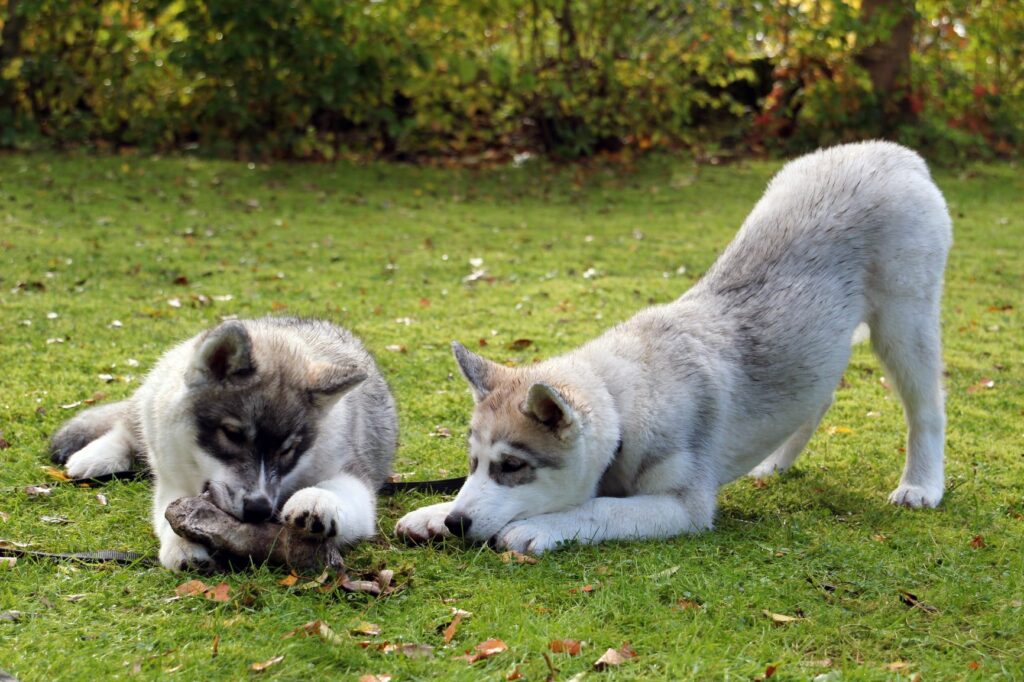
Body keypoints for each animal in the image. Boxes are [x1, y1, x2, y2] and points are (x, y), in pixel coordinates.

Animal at [51, 317, 397, 569]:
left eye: (288, 449)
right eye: (233, 435)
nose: (259, 510)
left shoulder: (351, 469)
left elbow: (344, 492)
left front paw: (317, 500)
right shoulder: (174, 479)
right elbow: (168, 511)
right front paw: (182, 545)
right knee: (127, 422)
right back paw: (97, 455)